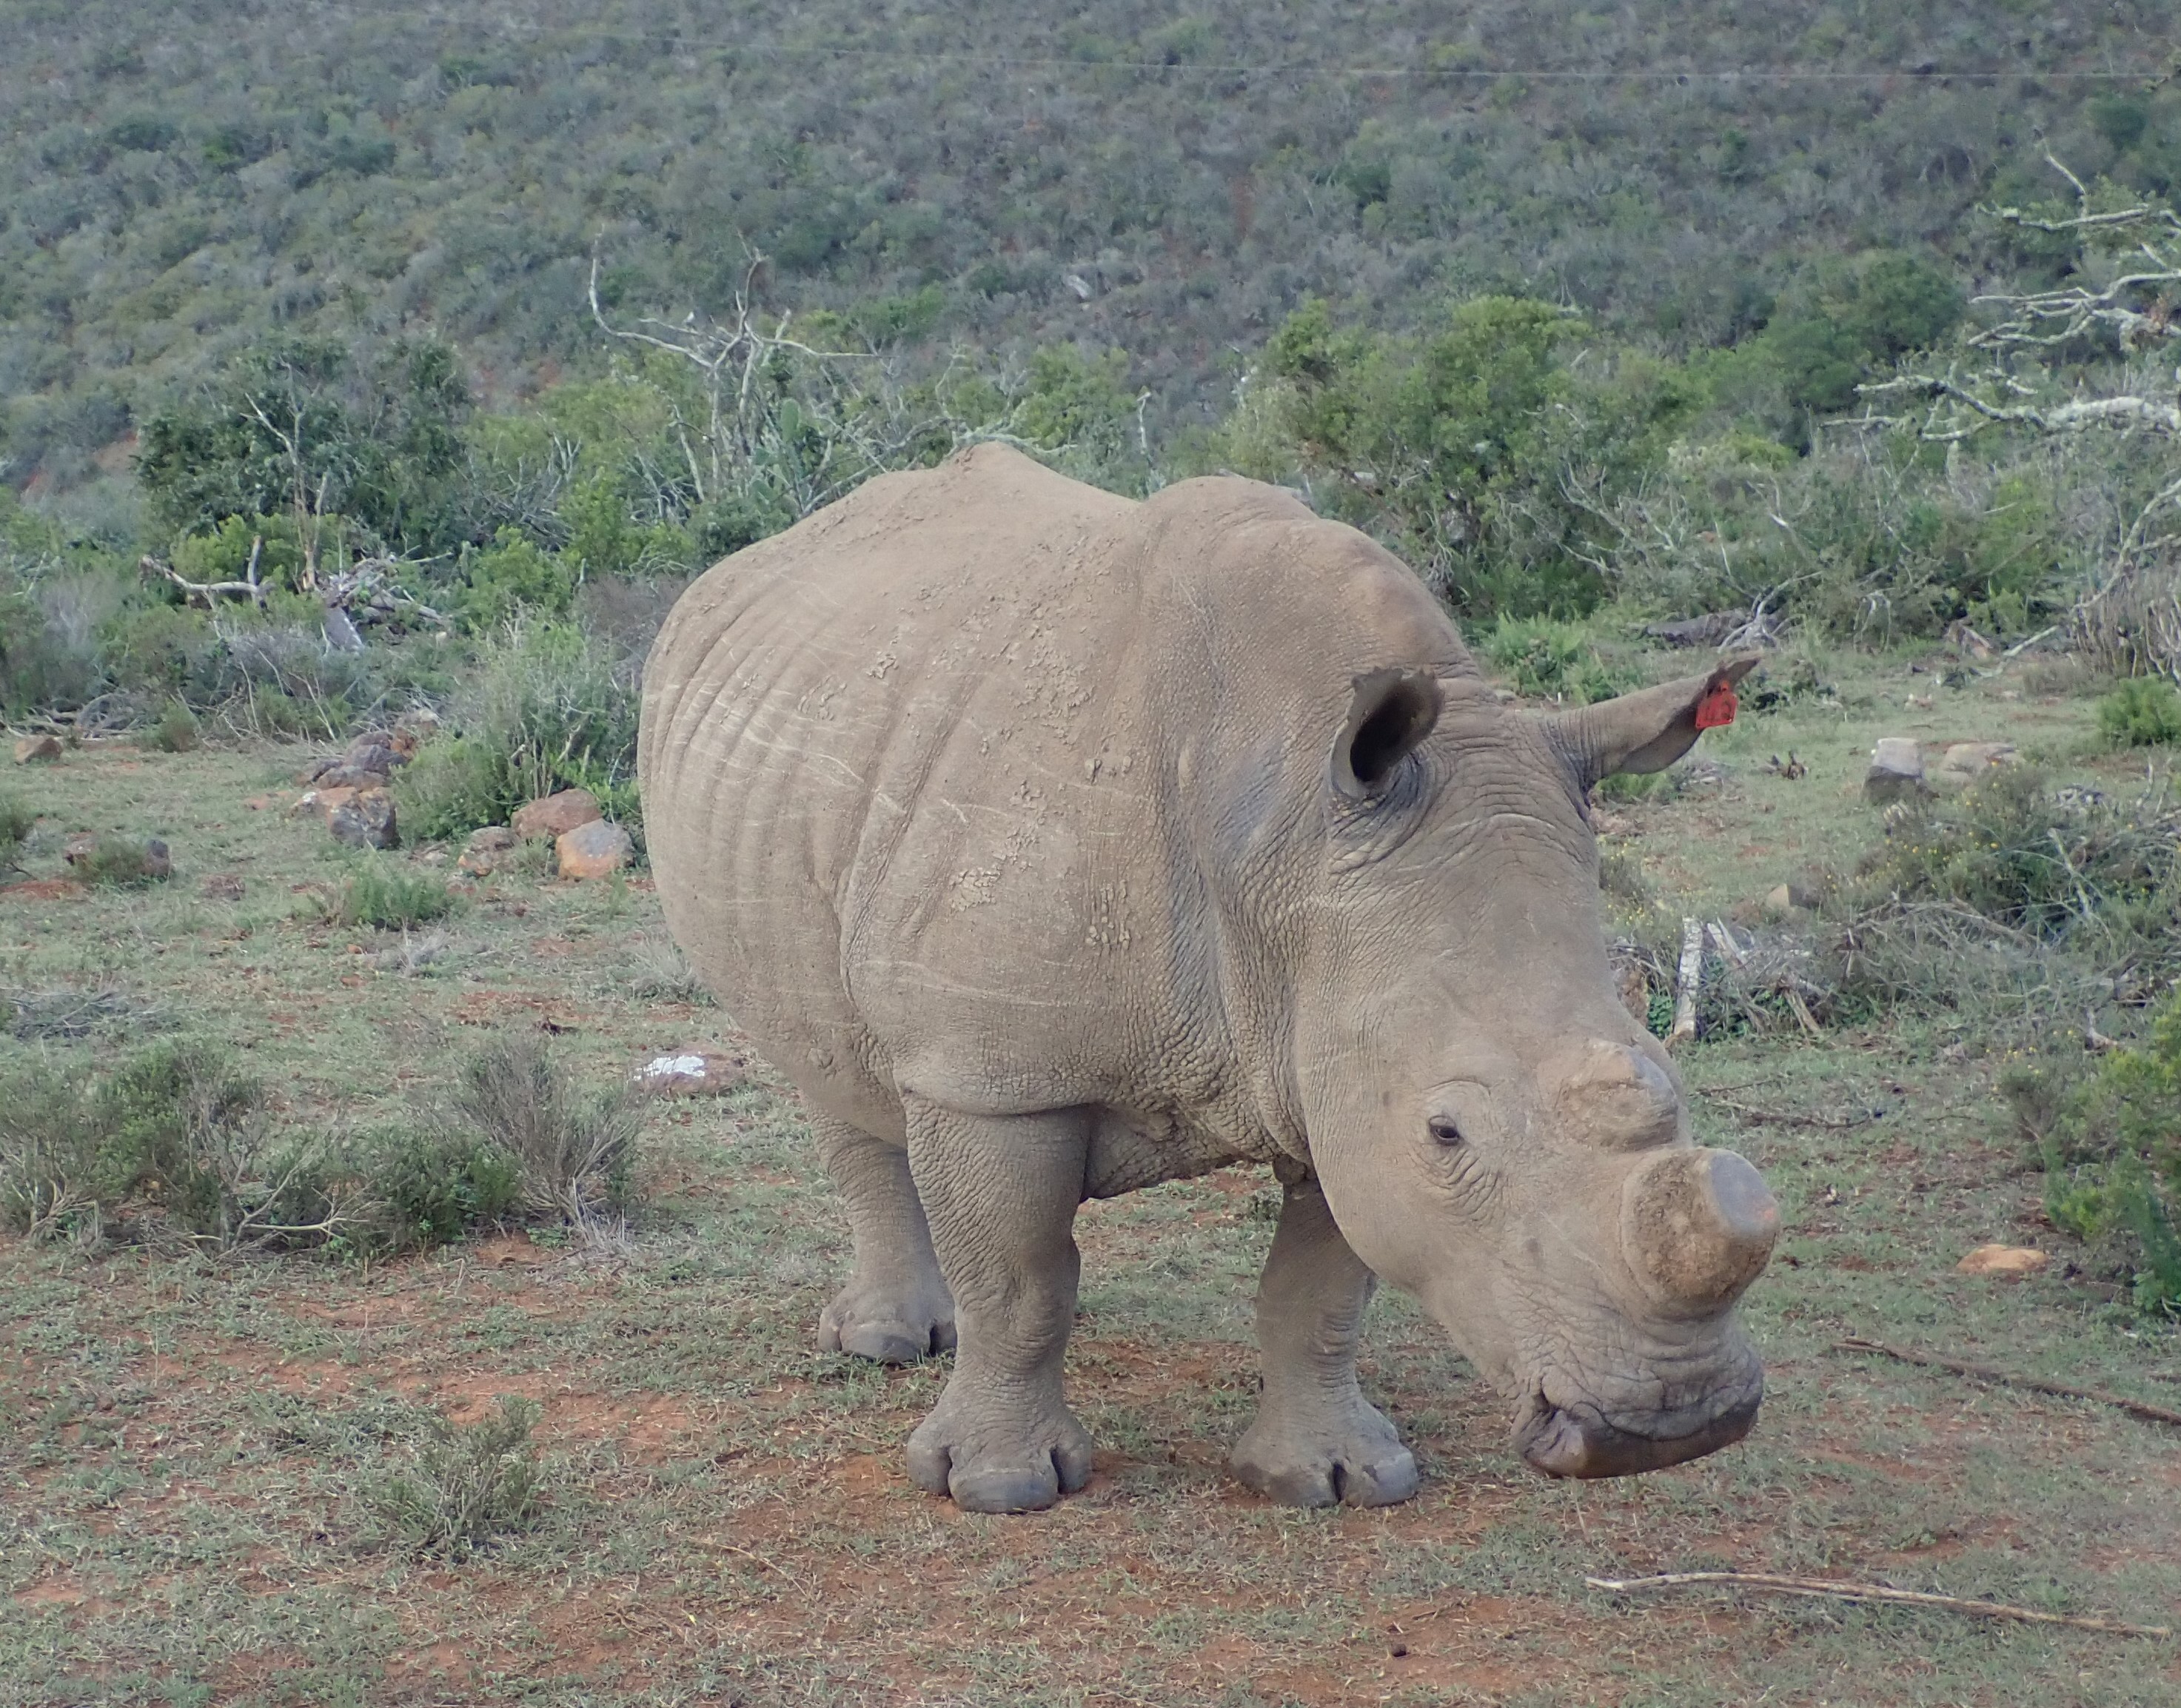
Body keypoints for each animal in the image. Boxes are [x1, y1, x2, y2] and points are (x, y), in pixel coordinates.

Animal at [639, 444, 1778, 1513]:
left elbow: (1318, 1292)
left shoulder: (1336, 1052)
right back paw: (891, 1344)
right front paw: (999, 1487)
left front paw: (1335, 1476)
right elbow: (1020, 1283)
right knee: (827, 1064)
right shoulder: (992, 1074)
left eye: (1664, 1072)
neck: (1283, 831)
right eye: (1446, 1132)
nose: (1672, 1422)